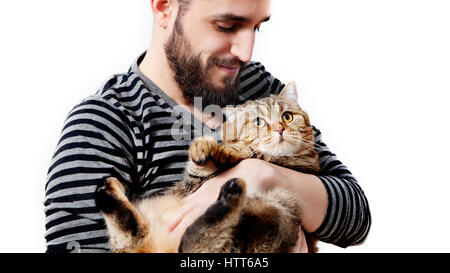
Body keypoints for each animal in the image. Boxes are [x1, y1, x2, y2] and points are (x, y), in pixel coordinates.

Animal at [94, 81, 320, 253]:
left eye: (287, 116)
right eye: (259, 122)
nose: (280, 129)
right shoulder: (192, 182)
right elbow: (203, 164)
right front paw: (210, 149)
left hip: (274, 208)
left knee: (195, 240)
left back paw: (230, 196)